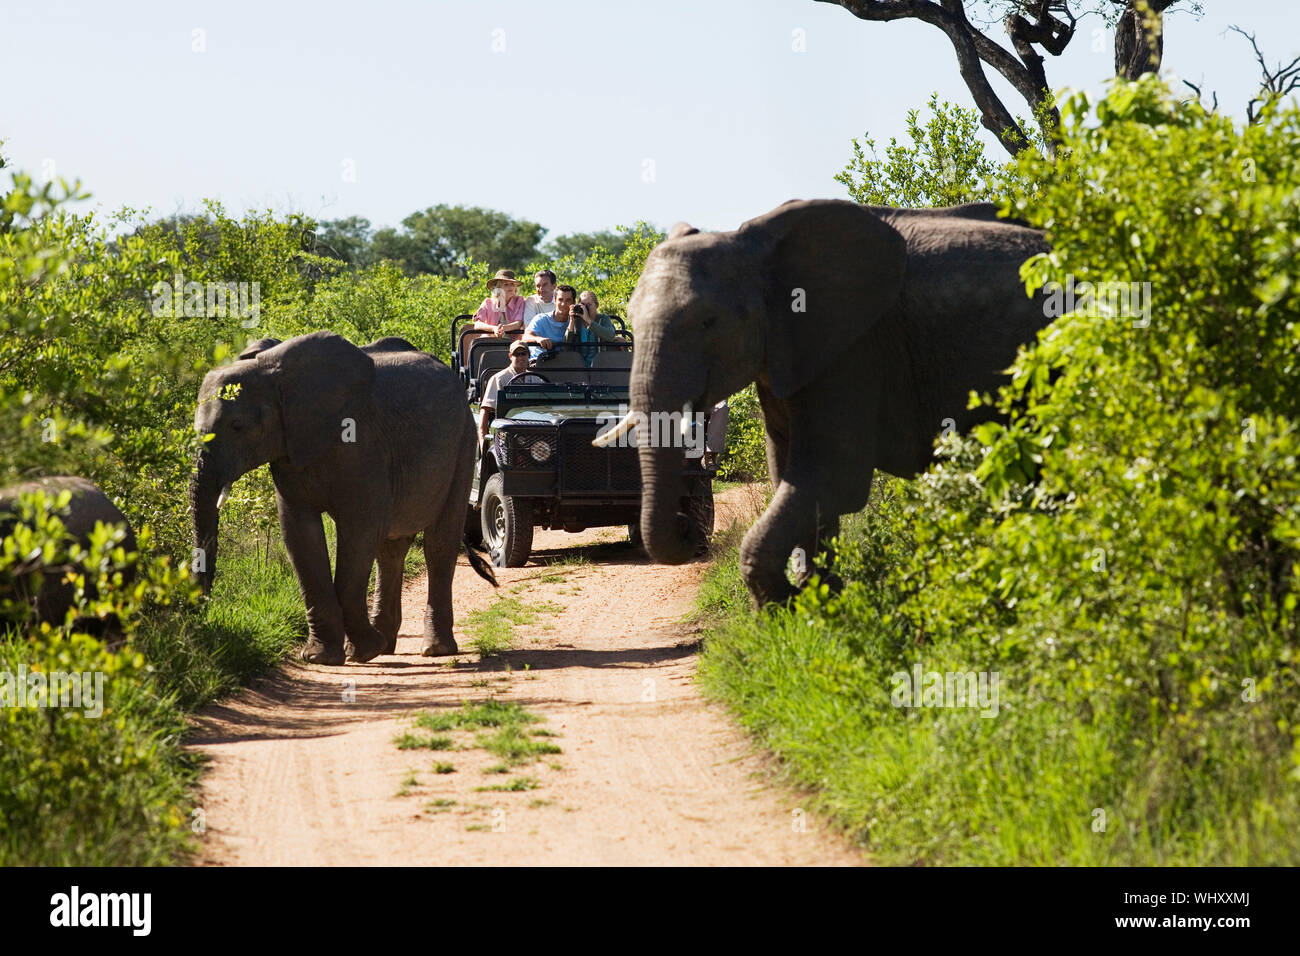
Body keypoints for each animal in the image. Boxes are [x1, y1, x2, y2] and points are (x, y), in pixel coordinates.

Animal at [189, 330, 496, 665]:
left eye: (238, 426)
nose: (198, 613)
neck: (275, 373)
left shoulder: (362, 442)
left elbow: (360, 530)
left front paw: (361, 651)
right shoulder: (290, 450)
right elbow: (300, 534)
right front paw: (322, 657)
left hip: (464, 444)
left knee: (438, 544)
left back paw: (433, 649)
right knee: (391, 549)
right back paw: (386, 645)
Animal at [603, 197, 1050, 606]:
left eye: (708, 322)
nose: (686, 524)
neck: (752, 248)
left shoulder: (855, 348)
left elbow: (830, 476)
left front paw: (789, 605)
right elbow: (789, 473)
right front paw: (821, 598)